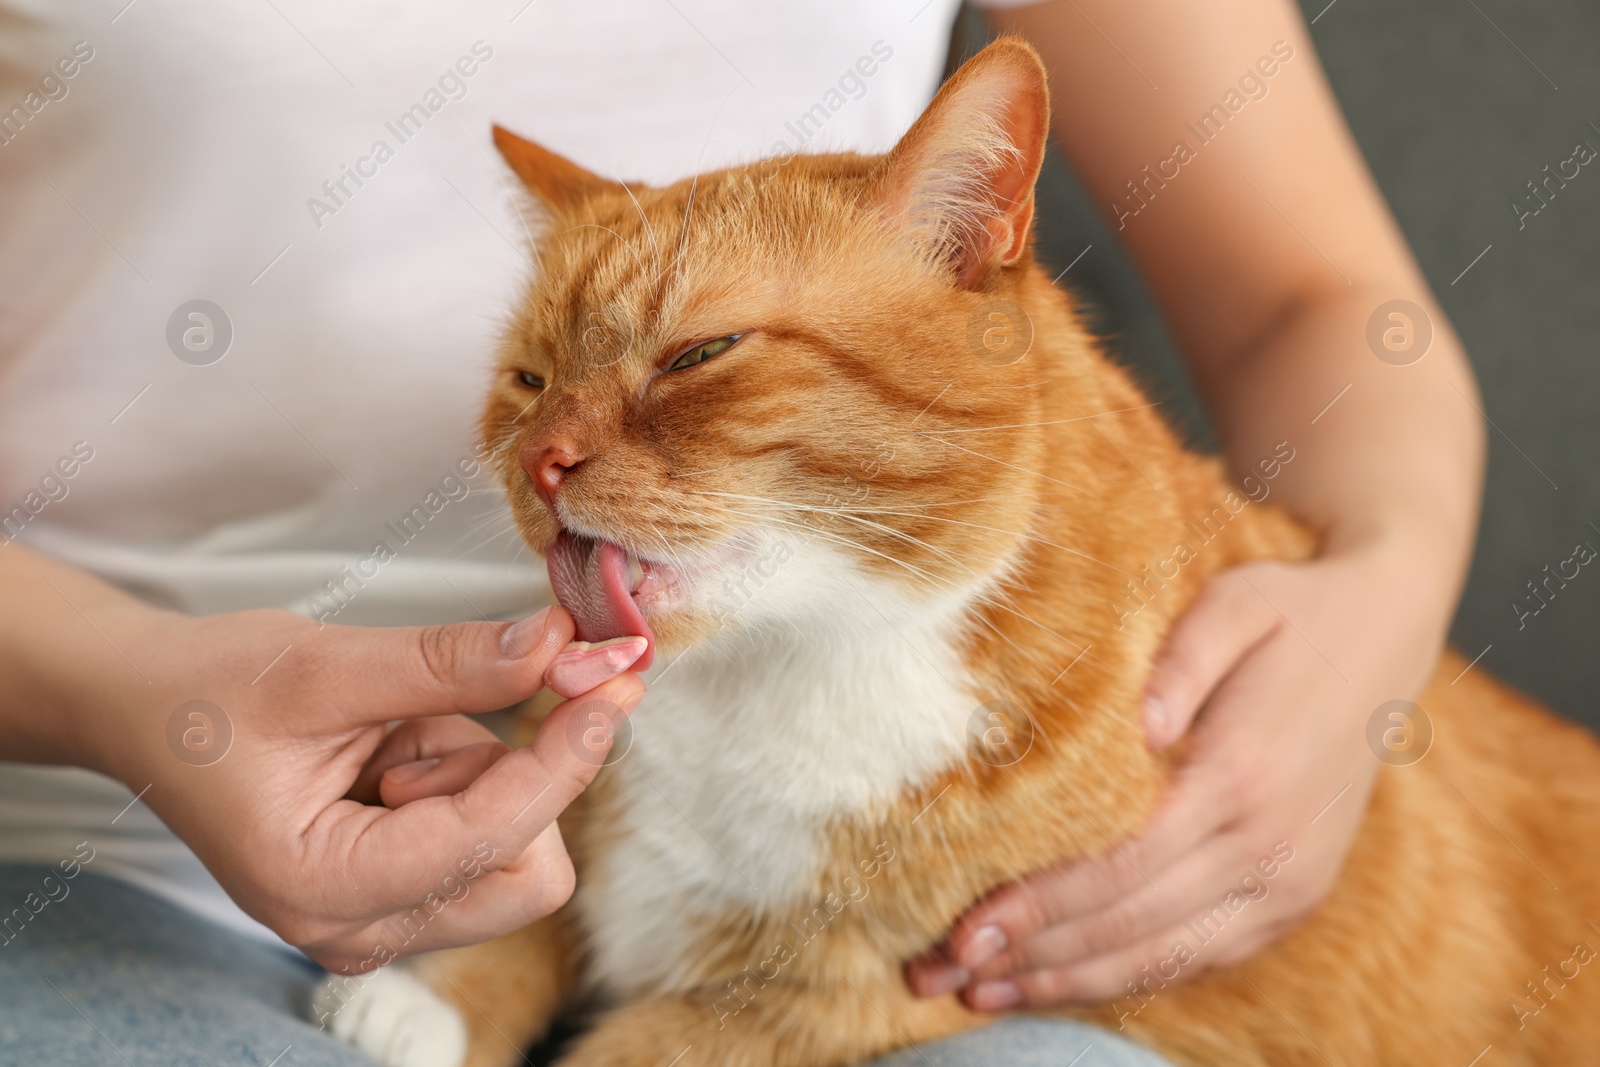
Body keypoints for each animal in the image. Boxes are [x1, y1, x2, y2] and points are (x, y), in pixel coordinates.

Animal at [324, 37, 1600, 1067]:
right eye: (529, 380)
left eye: (699, 354)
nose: (541, 462)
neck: (780, 670)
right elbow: (544, 886)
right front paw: (428, 1002)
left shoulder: (858, 996)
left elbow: (639, 1043)